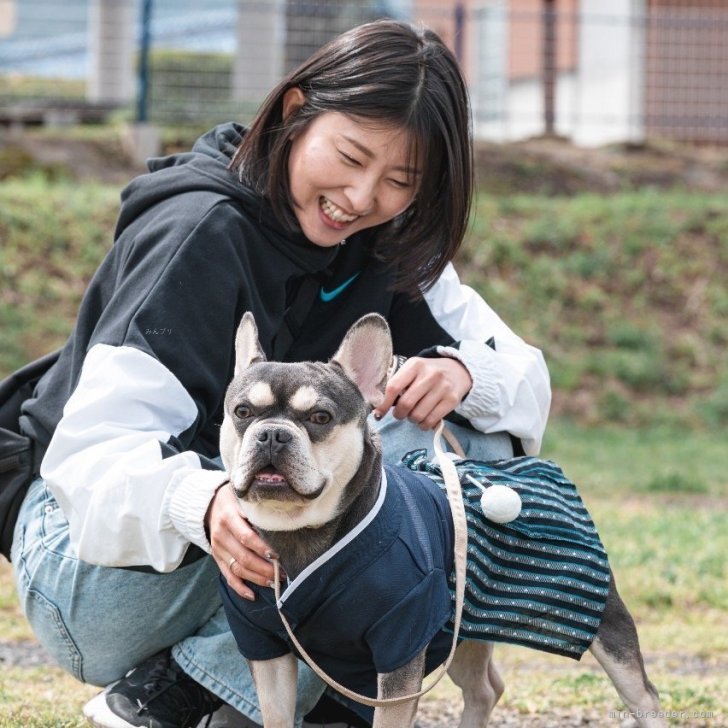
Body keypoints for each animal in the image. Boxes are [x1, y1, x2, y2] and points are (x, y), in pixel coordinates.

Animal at [218, 312, 664, 728]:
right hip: (462, 630)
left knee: (643, 694)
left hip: (605, 623)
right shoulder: (267, 651)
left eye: (321, 418)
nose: (272, 434)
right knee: (485, 688)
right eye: (242, 411)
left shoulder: (400, 652)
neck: (297, 531)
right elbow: (276, 716)